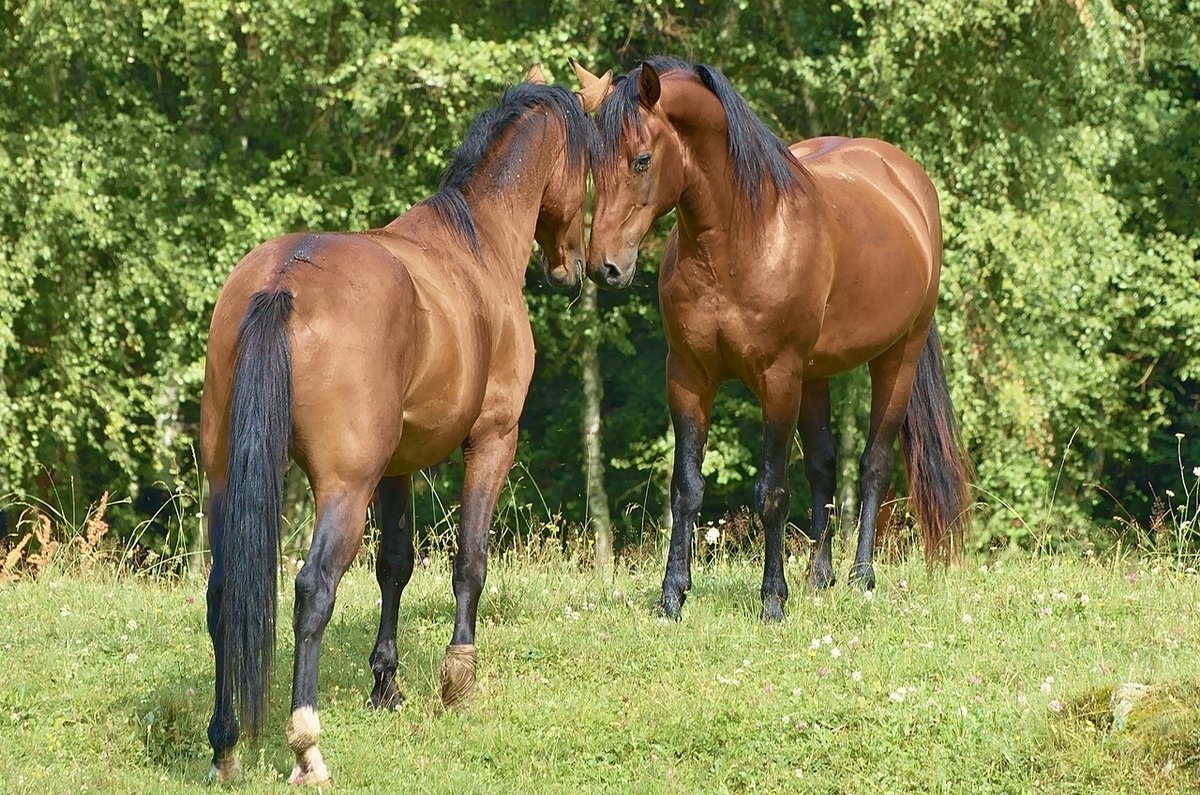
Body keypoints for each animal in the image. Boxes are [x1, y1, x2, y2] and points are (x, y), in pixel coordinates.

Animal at [200, 66, 595, 782]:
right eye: (586, 163)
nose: (575, 267)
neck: (475, 243)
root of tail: (283, 280)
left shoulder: (397, 467)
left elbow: (395, 565)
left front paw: (386, 684)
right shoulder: (492, 440)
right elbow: (469, 561)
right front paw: (457, 678)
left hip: (227, 477)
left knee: (223, 598)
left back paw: (225, 745)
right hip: (343, 488)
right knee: (313, 589)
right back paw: (307, 747)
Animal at [576, 60, 969, 624]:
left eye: (641, 159)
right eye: (592, 163)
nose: (605, 267)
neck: (739, 242)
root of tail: (908, 182)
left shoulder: (778, 379)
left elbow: (772, 492)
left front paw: (772, 600)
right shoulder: (688, 377)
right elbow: (686, 487)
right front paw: (672, 597)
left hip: (897, 357)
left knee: (873, 465)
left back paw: (861, 576)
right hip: (816, 375)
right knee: (824, 467)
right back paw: (821, 576)